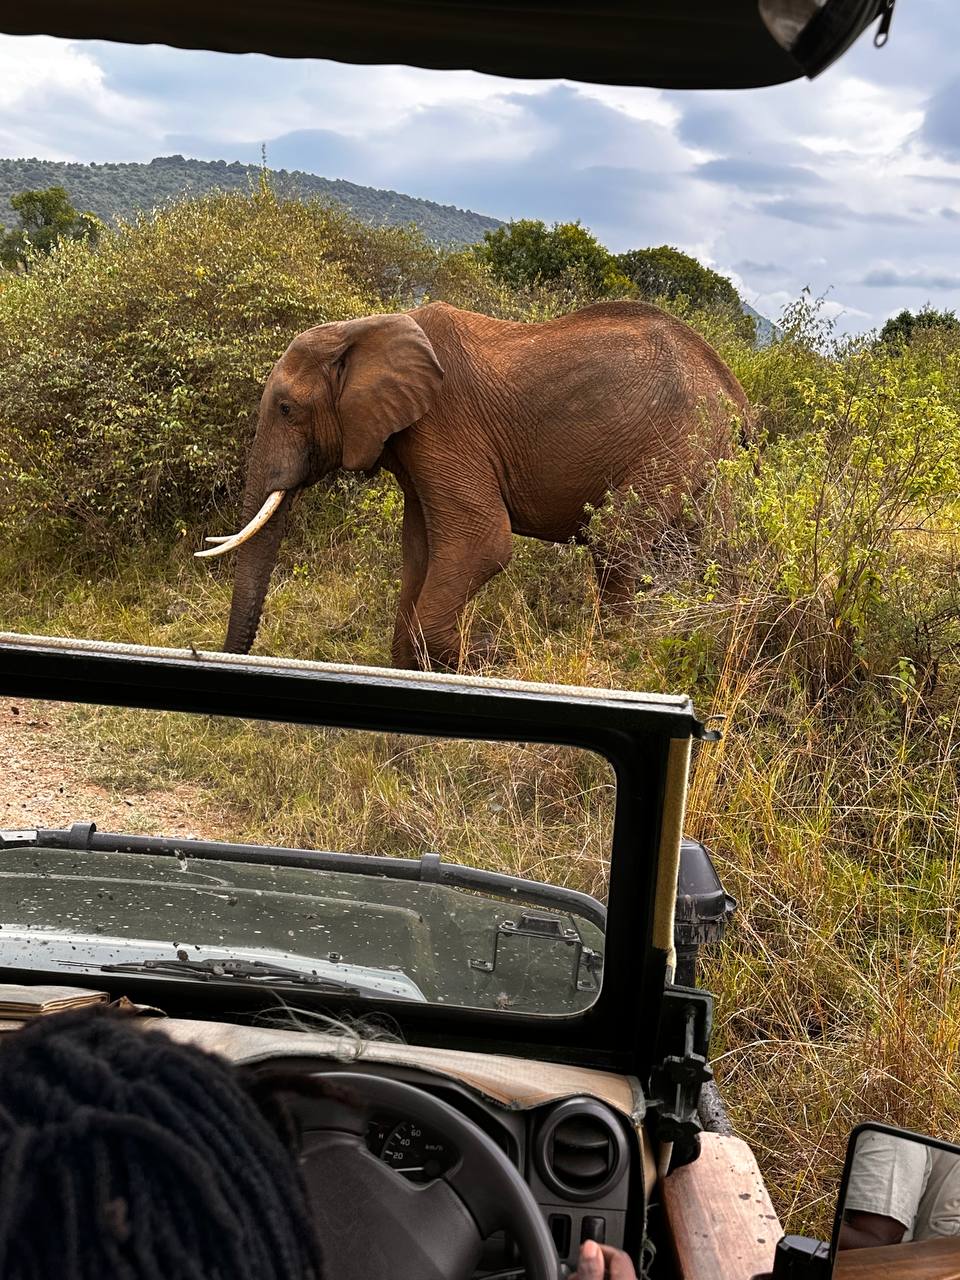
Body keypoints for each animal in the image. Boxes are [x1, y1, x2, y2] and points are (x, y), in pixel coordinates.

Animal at [198, 300, 748, 670]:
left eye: (287, 408)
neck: (365, 328)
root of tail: (732, 386)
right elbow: (420, 550)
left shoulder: (442, 423)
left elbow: (482, 543)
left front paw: (487, 655)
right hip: (705, 452)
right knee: (712, 543)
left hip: (678, 438)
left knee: (616, 539)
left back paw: (618, 657)